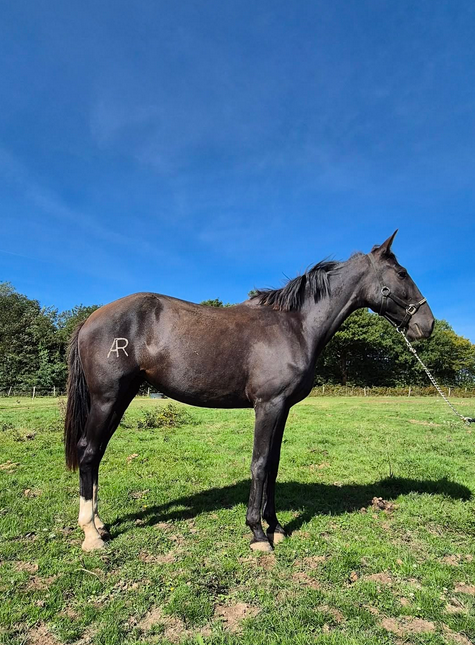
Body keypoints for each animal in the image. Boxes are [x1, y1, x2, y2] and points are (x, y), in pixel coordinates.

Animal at [64, 231, 434, 552]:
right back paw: (91, 534)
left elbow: (273, 464)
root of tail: (90, 319)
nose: (427, 325)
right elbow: (258, 463)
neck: (294, 325)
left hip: (121, 399)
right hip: (107, 399)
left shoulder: (283, 408)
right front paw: (258, 534)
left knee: (97, 454)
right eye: (402, 273)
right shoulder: (267, 405)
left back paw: (100, 524)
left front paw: (277, 527)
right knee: (88, 452)